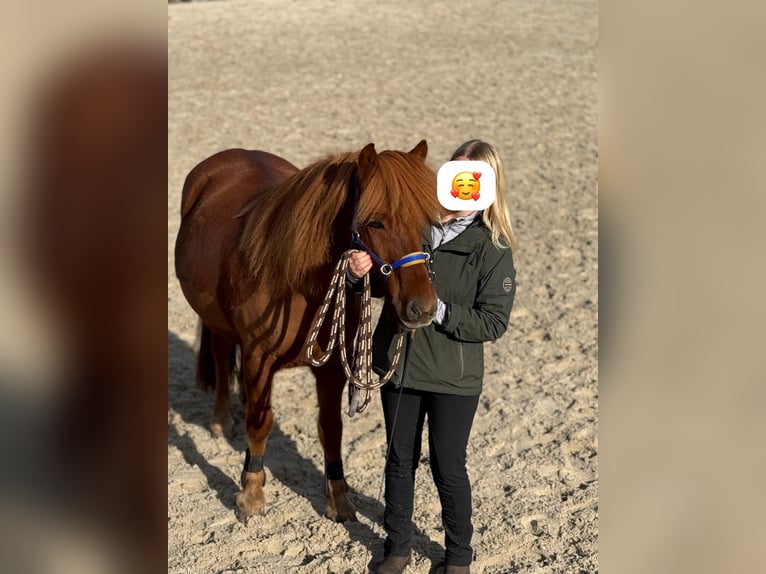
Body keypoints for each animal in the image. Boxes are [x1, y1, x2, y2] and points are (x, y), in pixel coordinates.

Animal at [174, 140, 442, 521]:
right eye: (377, 222)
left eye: (425, 221)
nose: (424, 308)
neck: (296, 281)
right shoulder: (258, 356)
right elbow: (260, 424)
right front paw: (251, 494)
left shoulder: (331, 368)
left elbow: (331, 429)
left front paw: (338, 500)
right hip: (217, 322)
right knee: (222, 353)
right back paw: (222, 420)